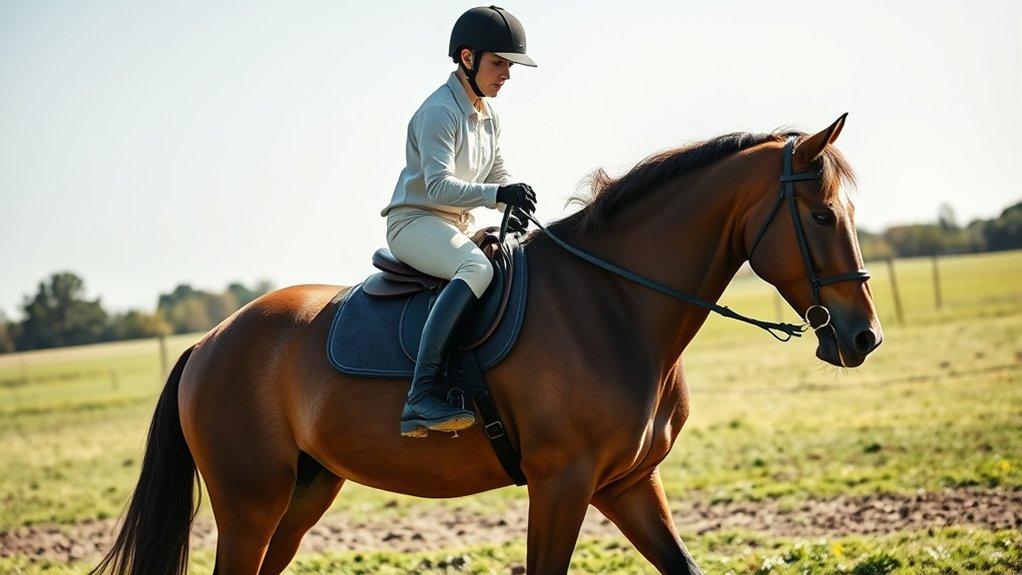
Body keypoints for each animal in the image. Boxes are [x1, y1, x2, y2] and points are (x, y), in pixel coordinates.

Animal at [93, 115, 882, 575]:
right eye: (820, 215)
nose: (863, 336)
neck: (615, 303)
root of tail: (208, 344)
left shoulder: (626, 483)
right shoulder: (562, 482)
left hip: (301, 494)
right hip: (250, 502)